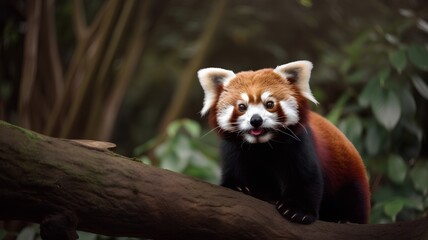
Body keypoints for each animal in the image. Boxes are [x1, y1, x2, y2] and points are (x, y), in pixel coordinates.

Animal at [198, 61, 372, 224]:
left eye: (269, 104)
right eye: (242, 106)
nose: (256, 120)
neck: (263, 145)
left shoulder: (300, 143)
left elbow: (305, 176)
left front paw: (298, 211)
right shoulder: (234, 149)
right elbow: (236, 170)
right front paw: (239, 187)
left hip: (350, 177)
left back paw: (345, 219)